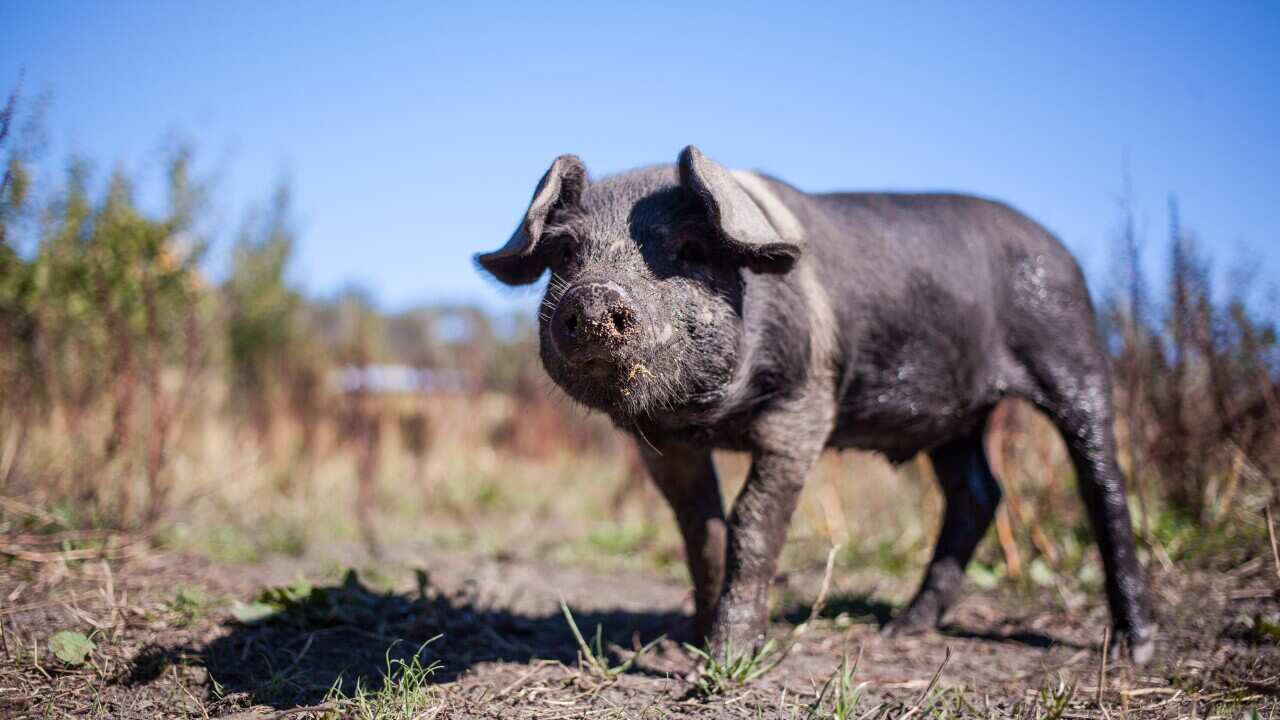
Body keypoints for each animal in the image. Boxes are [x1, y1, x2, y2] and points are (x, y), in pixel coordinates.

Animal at [475, 146, 1155, 664]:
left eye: (691, 249)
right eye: (565, 255)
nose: (594, 299)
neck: (711, 416)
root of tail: (1059, 249)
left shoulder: (804, 408)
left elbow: (751, 522)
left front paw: (726, 663)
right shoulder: (662, 442)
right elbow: (701, 529)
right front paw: (690, 643)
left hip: (1071, 347)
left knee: (1102, 481)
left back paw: (1134, 650)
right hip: (956, 418)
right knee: (978, 492)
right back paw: (901, 629)